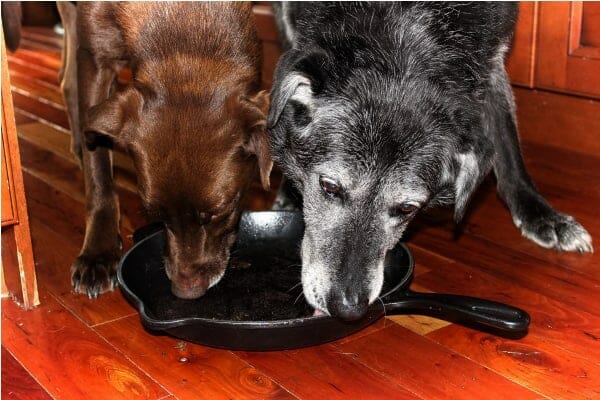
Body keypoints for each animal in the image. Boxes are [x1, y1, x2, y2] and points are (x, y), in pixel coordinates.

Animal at [56, 2, 272, 296]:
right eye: (156, 214)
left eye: (220, 212)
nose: (185, 291)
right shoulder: (95, 58)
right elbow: (98, 168)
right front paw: (98, 254)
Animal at [268, 3, 592, 320]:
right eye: (329, 187)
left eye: (407, 208)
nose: (348, 308)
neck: (408, 26)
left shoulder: (493, 57)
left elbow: (506, 142)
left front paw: (543, 216)